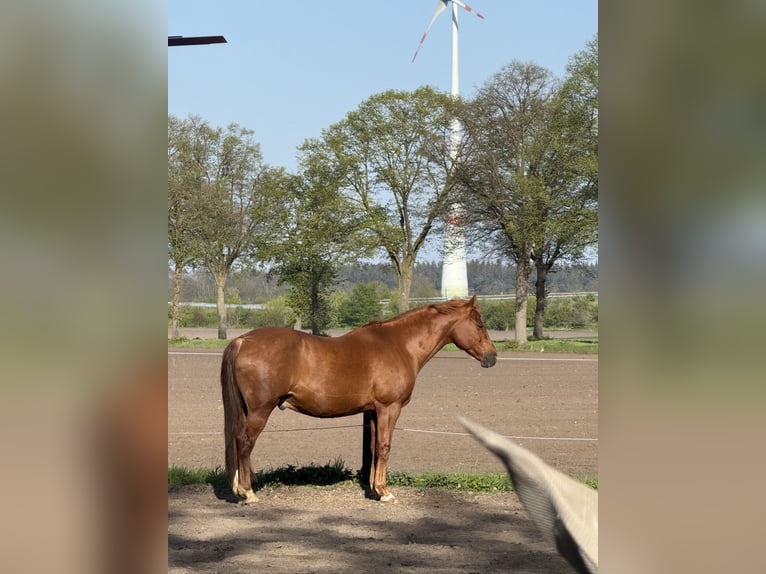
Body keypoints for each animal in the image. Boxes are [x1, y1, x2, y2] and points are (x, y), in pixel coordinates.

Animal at [220, 295, 497, 504]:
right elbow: (384, 447)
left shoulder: (374, 411)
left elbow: (374, 448)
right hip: (260, 410)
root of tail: (243, 340)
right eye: (480, 324)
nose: (492, 357)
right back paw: (247, 492)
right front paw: (385, 492)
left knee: (238, 441)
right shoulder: (389, 408)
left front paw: (374, 489)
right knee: (245, 442)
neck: (400, 345)